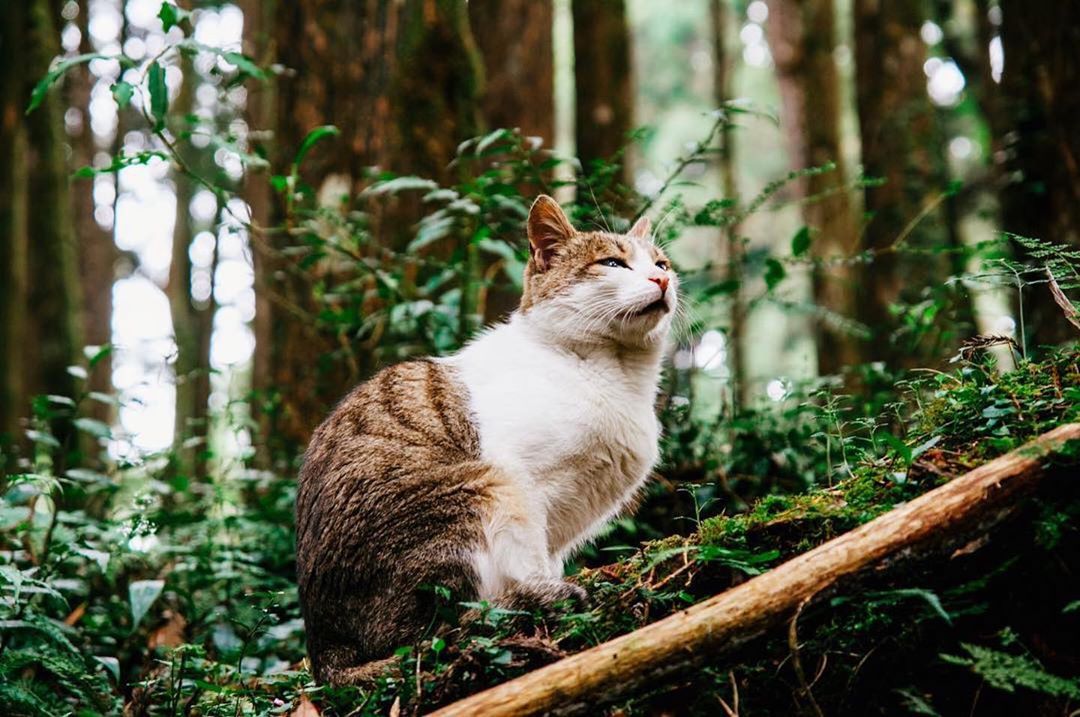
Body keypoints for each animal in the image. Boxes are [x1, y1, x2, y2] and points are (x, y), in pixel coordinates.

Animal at [295, 194, 678, 682]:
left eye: (661, 262)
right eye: (612, 263)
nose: (661, 278)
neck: (614, 375)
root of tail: (325, 654)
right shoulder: (522, 484)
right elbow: (532, 557)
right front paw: (548, 592)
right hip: (478, 489)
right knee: (434, 632)